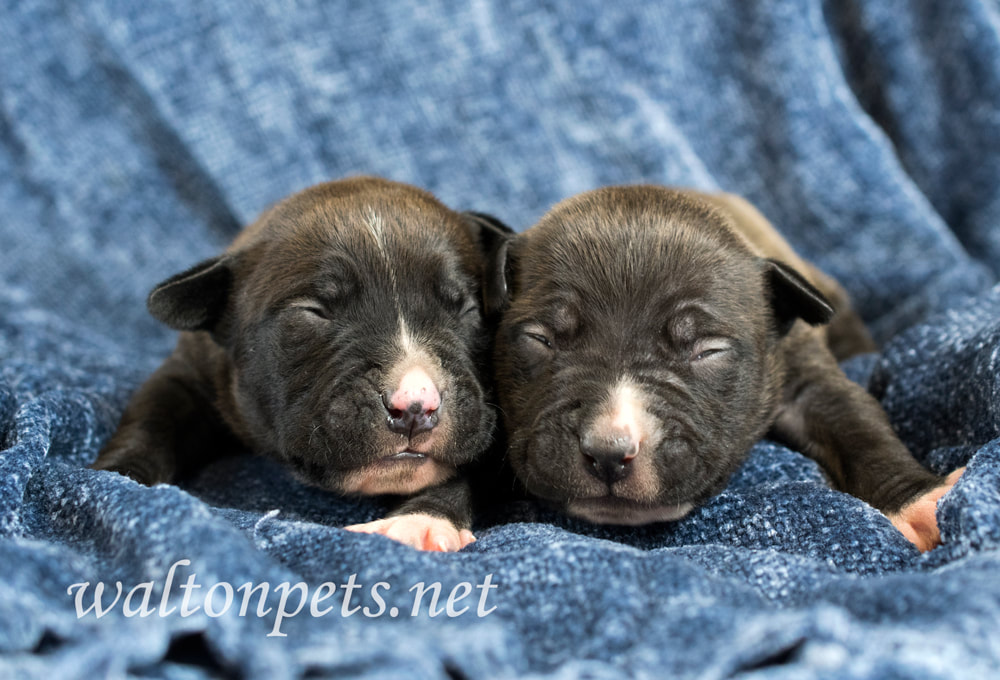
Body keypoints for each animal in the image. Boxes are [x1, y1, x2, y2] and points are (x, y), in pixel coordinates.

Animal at [94, 177, 508, 552]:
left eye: (468, 309)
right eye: (313, 312)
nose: (416, 406)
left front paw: (418, 521)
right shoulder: (187, 373)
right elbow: (152, 419)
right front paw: (114, 478)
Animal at [488, 186, 964, 552]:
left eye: (708, 351)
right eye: (540, 339)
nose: (609, 452)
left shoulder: (806, 374)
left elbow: (857, 427)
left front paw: (918, 503)